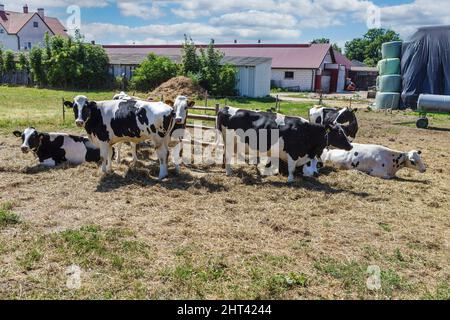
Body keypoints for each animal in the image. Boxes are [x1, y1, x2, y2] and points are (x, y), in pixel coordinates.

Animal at [216, 107, 354, 182]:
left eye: (344, 131)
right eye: (339, 133)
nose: (351, 146)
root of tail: (225, 108)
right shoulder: (293, 153)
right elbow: (291, 168)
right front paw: (290, 180)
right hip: (230, 142)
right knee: (227, 156)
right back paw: (229, 172)